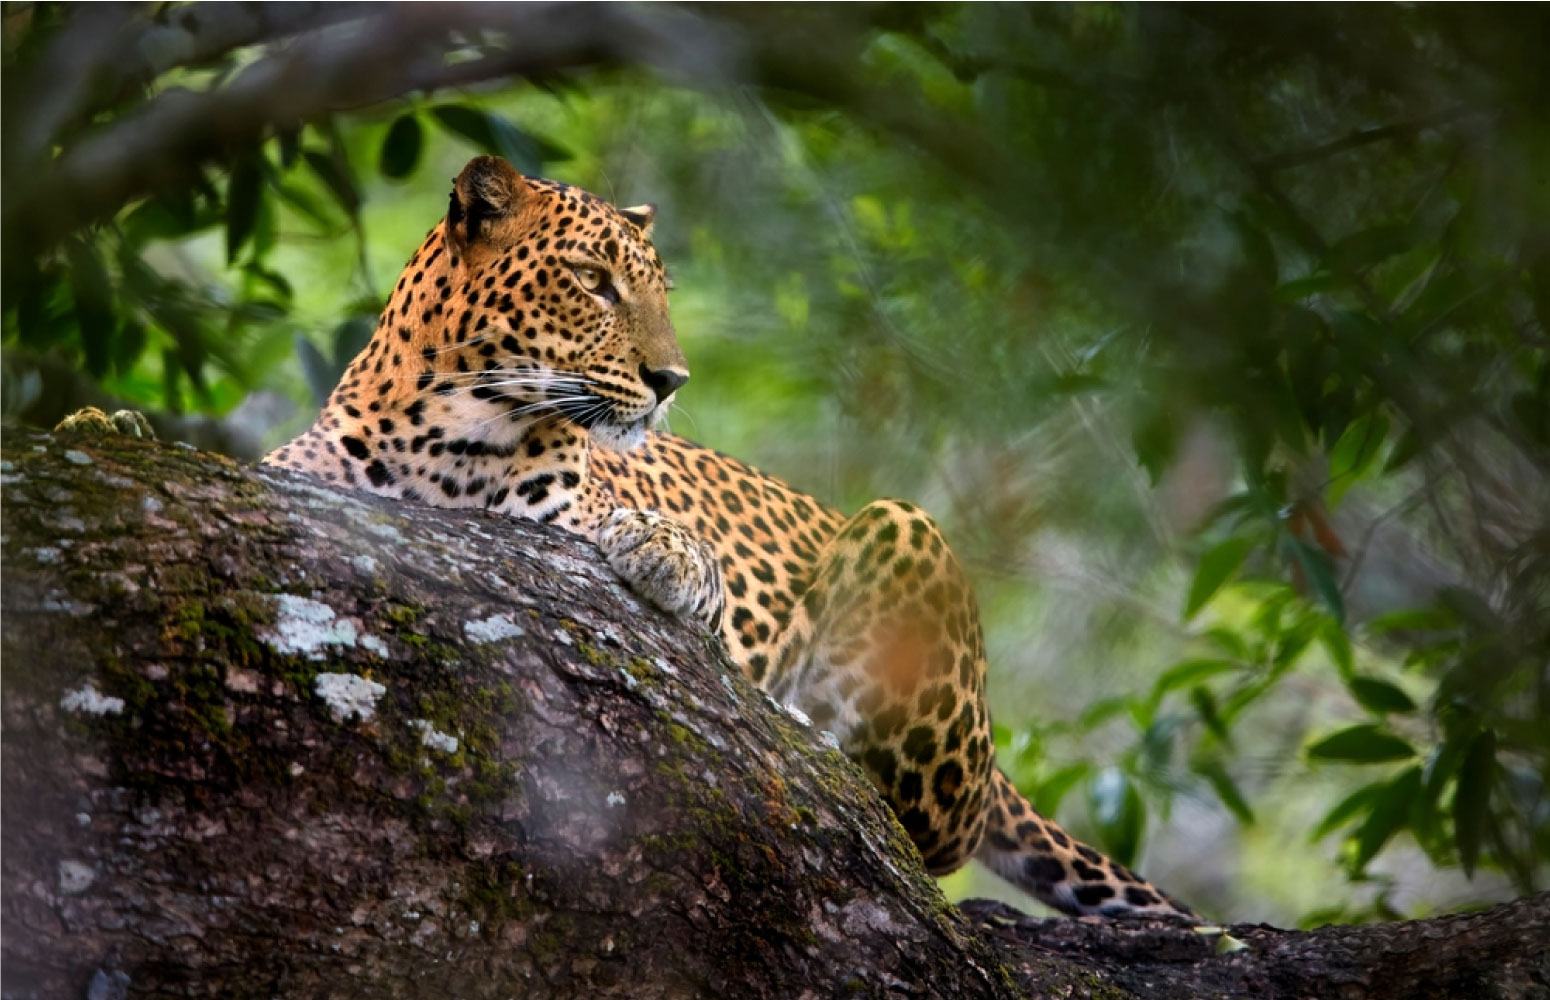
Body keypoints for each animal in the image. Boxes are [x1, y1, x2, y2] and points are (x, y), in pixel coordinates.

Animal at [60, 154, 1196, 917]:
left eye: (655, 290)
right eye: (594, 280)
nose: (672, 380)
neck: (441, 425)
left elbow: (619, 523)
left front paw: (667, 553)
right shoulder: (309, 479)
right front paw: (101, 425)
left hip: (903, 535)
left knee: (927, 828)